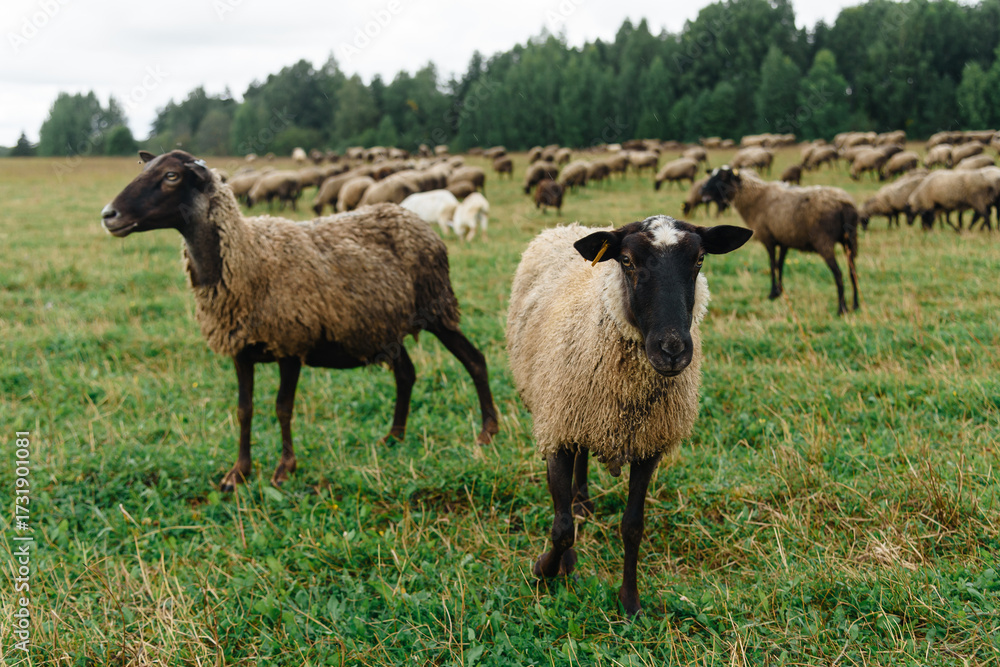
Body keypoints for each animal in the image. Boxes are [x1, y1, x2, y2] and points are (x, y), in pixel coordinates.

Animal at [101, 150, 499, 490]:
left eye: (171, 176)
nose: (108, 214)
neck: (248, 256)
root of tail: (412, 217)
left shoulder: (290, 344)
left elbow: (282, 408)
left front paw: (283, 469)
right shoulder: (241, 351)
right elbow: (244, 410)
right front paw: (238, 473)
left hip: (436, 308)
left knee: (474, 360)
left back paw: (487, 431)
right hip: (383, 325)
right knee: (407, 374)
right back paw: (394, 437)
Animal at [505, 216, 752, 617]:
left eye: (700, 259)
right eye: (626, 260)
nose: (672, 350)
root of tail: (570, 226)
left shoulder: (648, 445)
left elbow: (633, 526)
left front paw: (630, 601)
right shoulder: (559, 429)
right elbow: (562, 527)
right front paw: (547, 568)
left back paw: (583, 500)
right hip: (554, 410)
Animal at [702, 166, 861, 315]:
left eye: (722, 177)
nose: (702, 191)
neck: (755, 198)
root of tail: (844, 204)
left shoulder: (768, 239)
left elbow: (772, 265)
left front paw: (772, 293)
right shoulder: (784, 240)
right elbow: (780, 264)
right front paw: (779, 291)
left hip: (824, 241)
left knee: (838, 274)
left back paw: (842, 309)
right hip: (850, 240)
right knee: (852, 272)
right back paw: (855, 305)